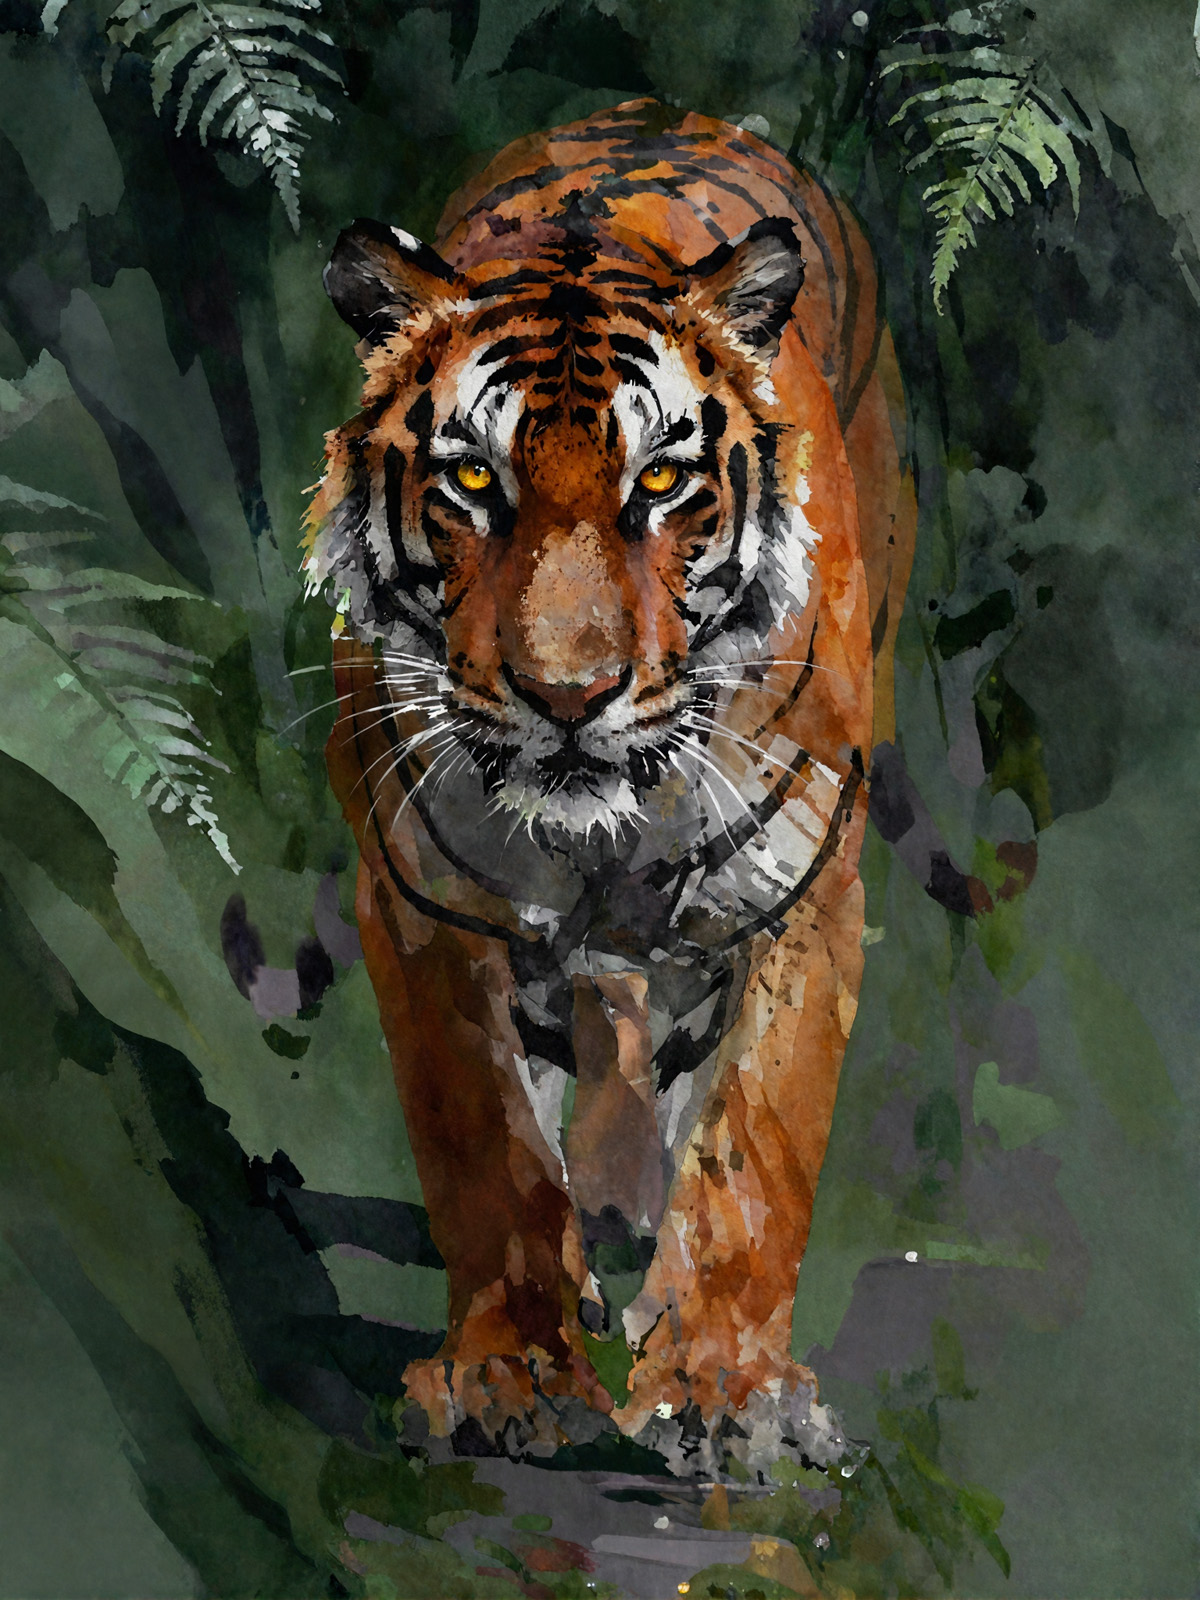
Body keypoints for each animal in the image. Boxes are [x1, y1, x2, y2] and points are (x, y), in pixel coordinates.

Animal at [304, 97, 915, 1476]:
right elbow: (488, 1148)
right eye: (476, 480)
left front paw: (725, 1392)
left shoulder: (802, 893)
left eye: (662, 482)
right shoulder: (426, 904)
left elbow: (753, 1152)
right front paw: (509, 1373)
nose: (570, 694)